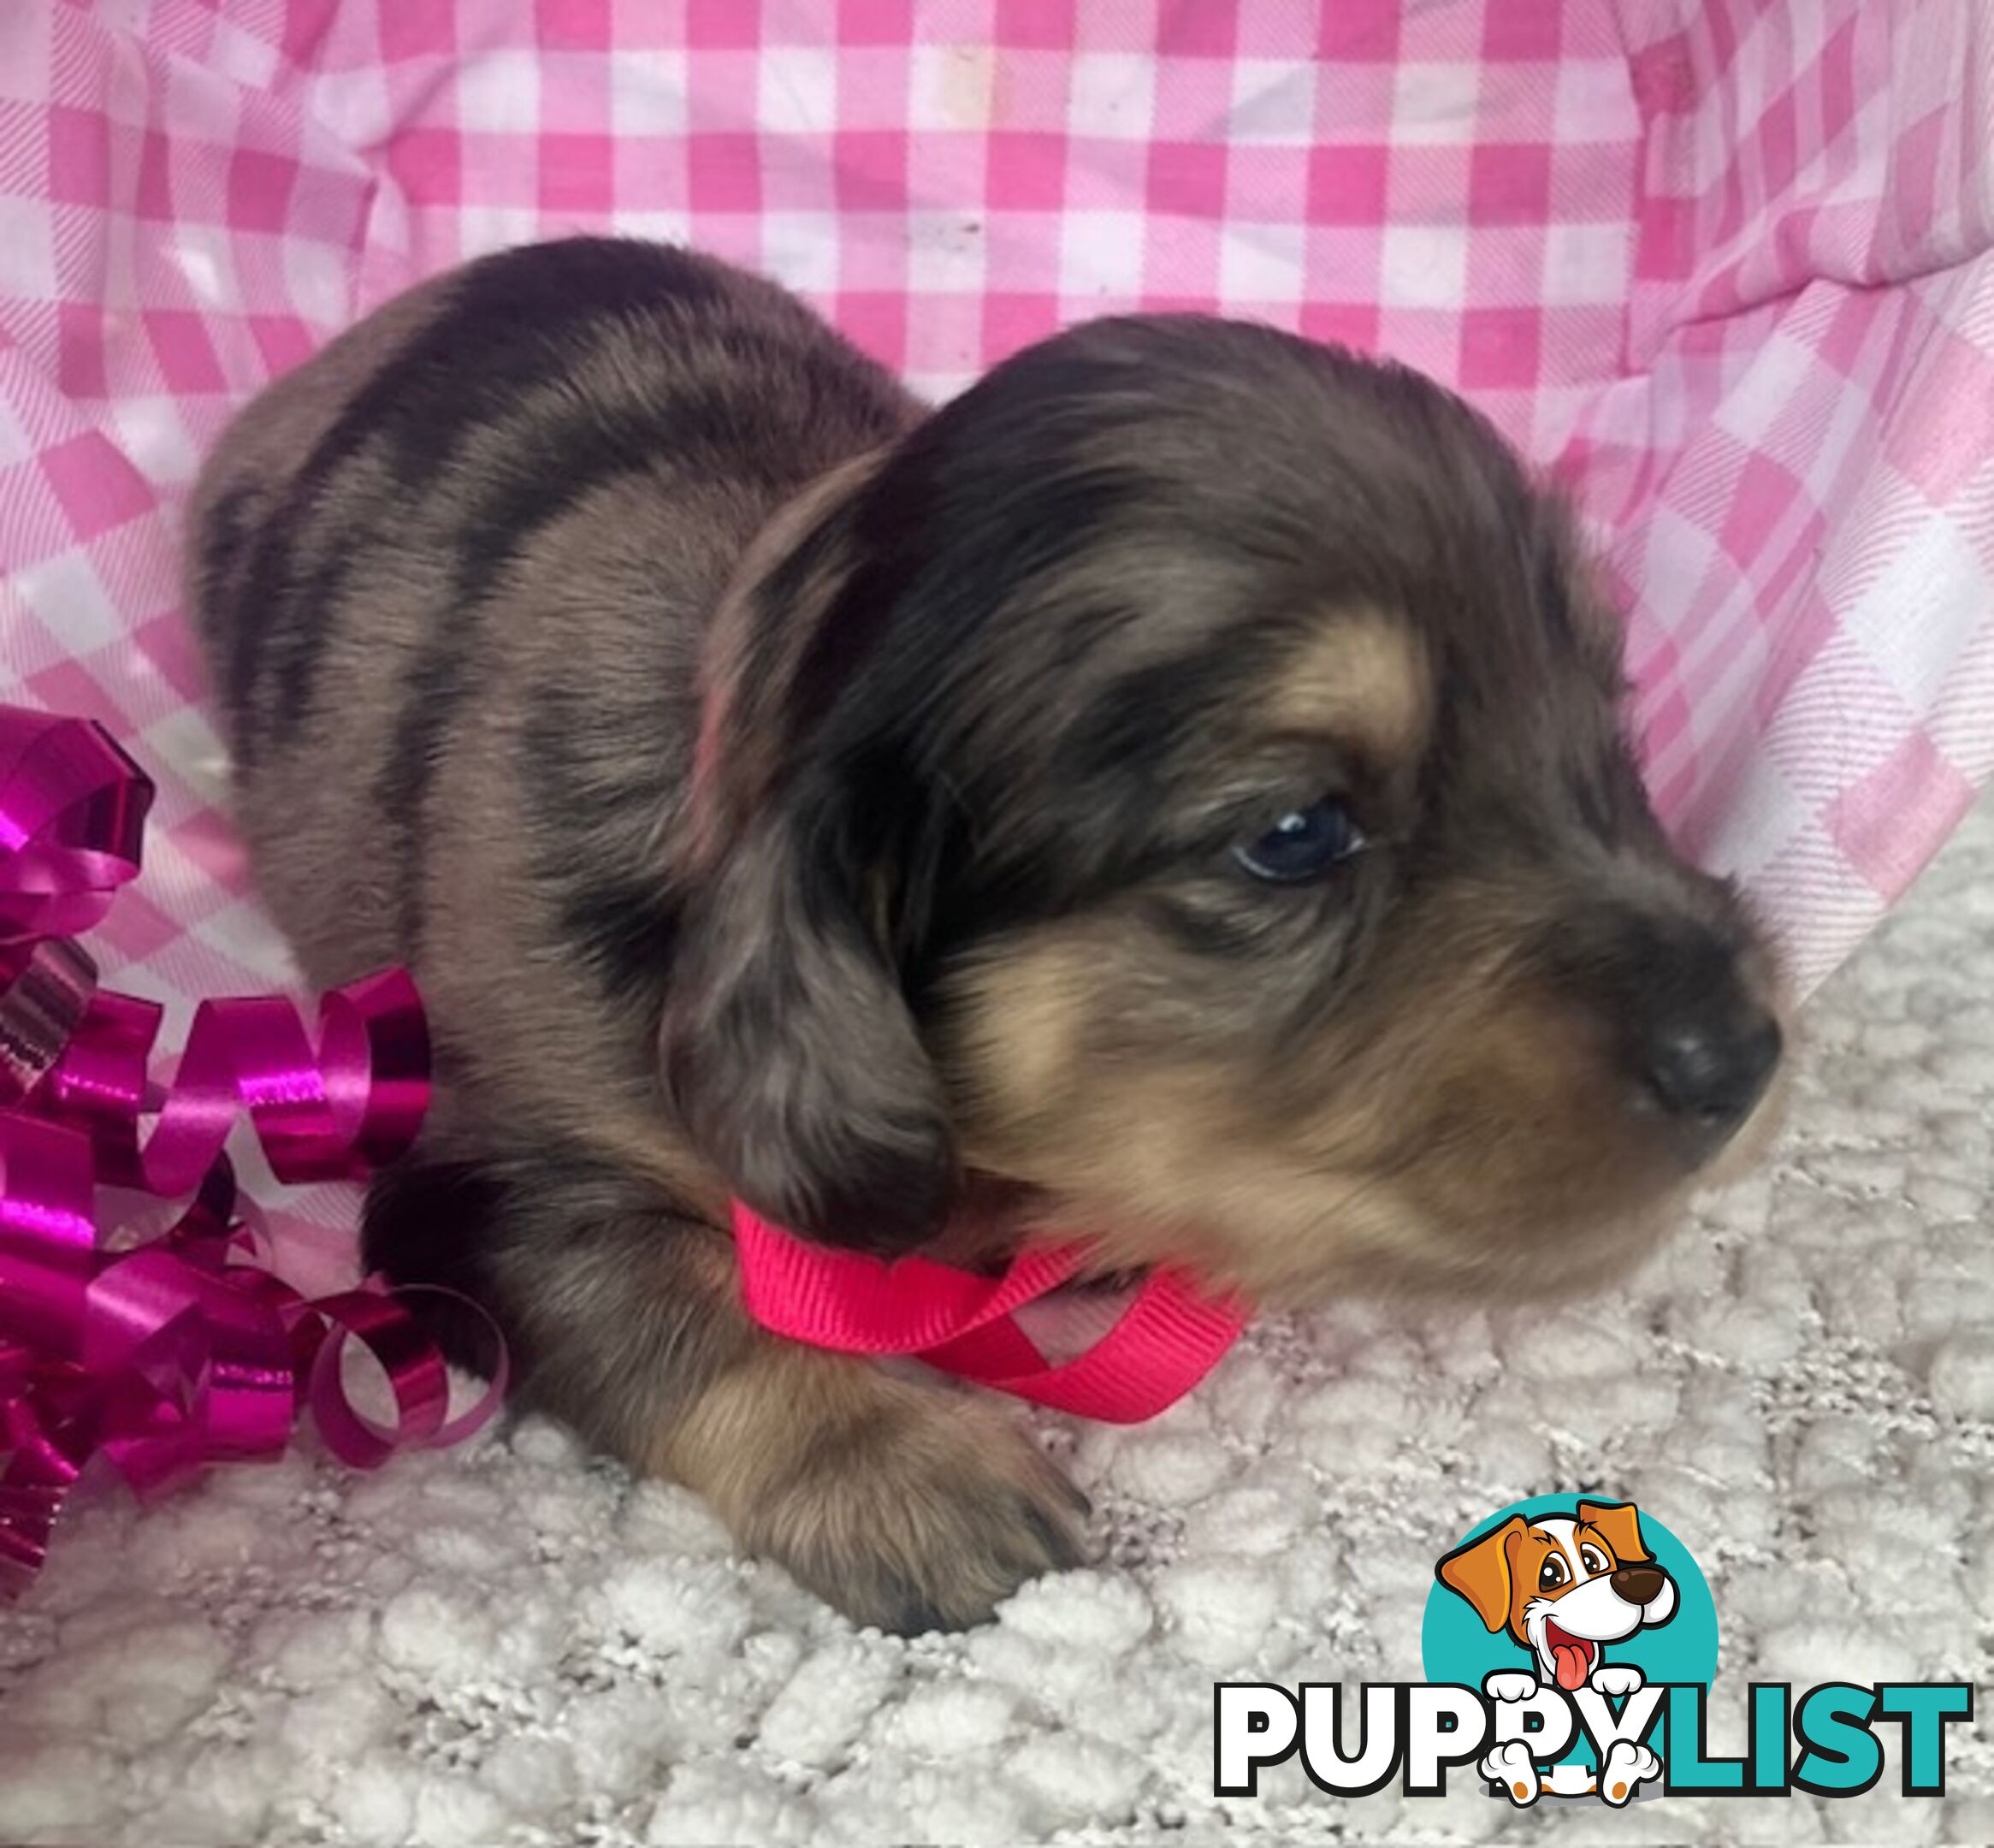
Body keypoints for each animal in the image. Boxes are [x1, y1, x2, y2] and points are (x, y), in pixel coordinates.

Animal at [183, 234, 1778, 1634]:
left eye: (1603, 731)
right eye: (1291, 835)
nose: (1746, 1055)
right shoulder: (480, 1195)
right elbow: (677, 1309)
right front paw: (901, 1472)